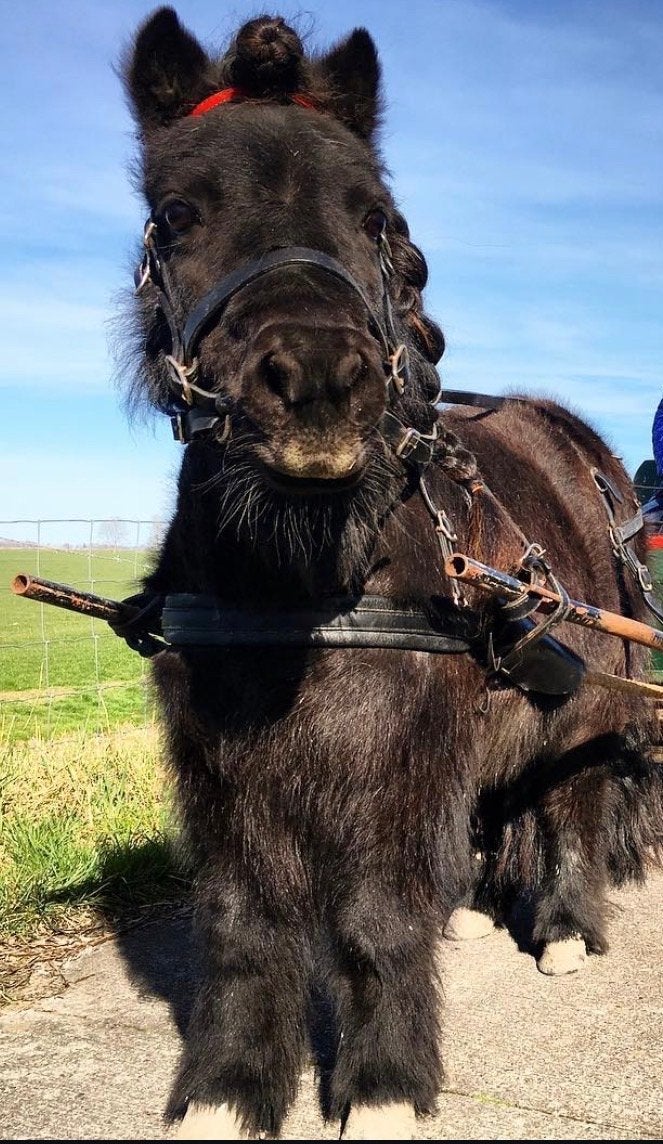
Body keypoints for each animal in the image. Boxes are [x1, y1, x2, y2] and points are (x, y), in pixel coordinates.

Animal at [120, 8, 663, 1139]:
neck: (297, 581)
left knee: (572, 798)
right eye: (177, 214)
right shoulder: (222, 766)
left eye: (375, 217)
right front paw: (227, 1088)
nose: (320, 383)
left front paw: (379, 1085)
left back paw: (564, 925)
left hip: (588, 706)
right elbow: (238, 918)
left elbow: (377, 913)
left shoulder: (396, 760)